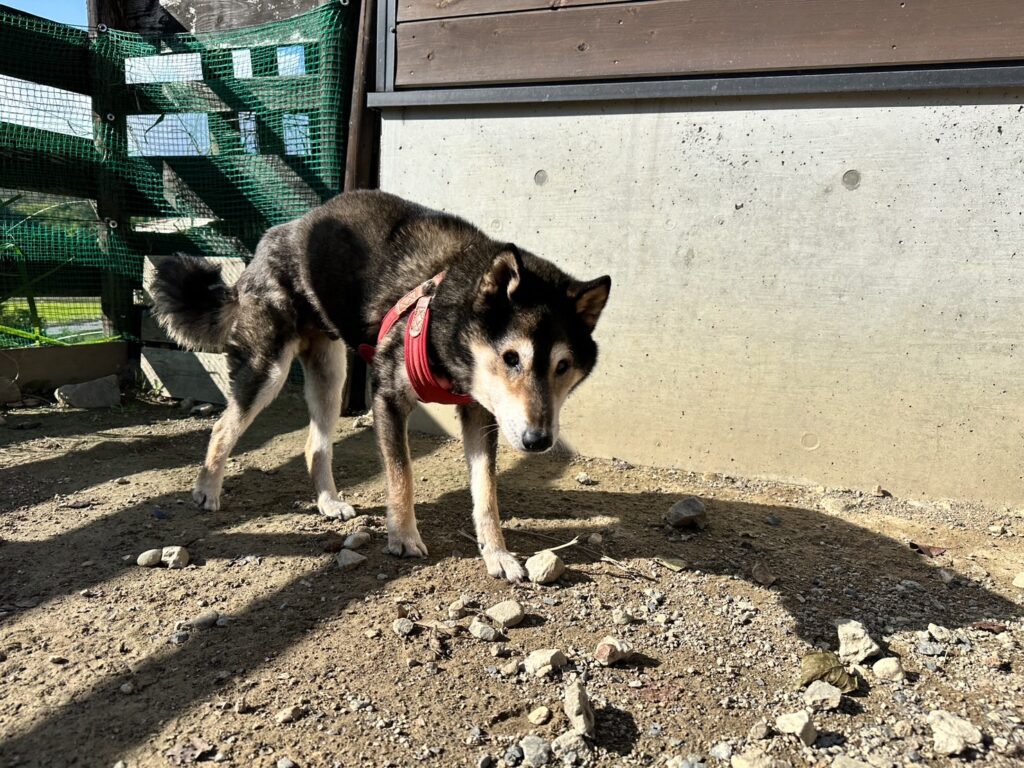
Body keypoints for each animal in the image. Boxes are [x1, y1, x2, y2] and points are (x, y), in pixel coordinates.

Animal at [151, 190, 611, 581]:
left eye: (563, 366)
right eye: (512, 358)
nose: (538, 440)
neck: (446, 312)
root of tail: (276, 234)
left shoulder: (480, 413)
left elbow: (486, 494)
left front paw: (497, 554)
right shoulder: (388, 399)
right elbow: (401, 475)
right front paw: (403, 538)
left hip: (331, 375)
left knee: (314, 444)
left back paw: (328, 501)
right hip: (270, 370)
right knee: (223, 426)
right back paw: (207, 490)